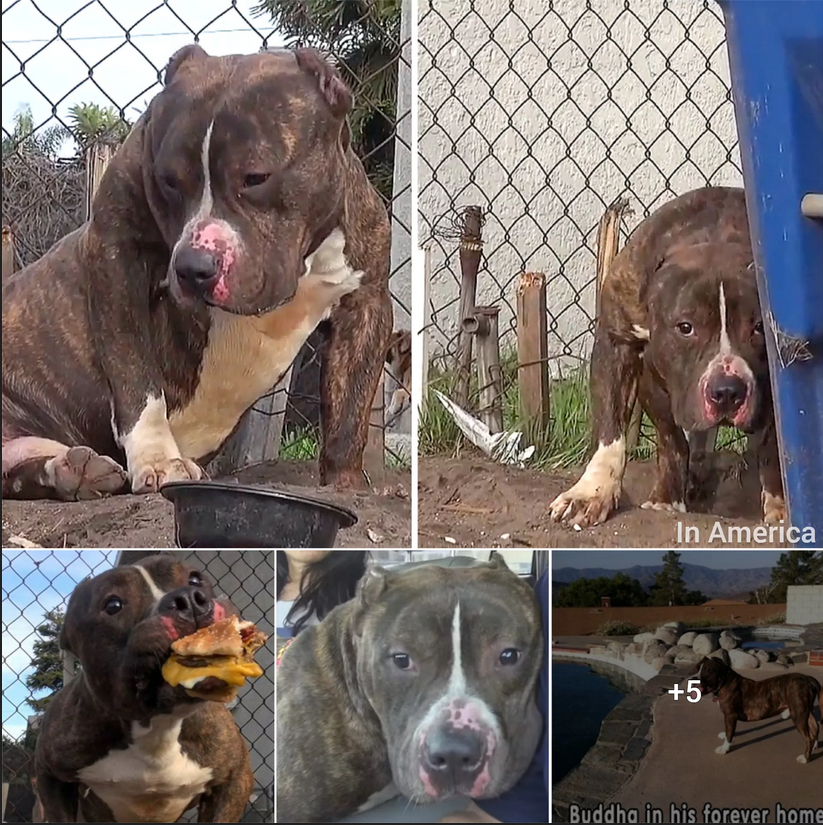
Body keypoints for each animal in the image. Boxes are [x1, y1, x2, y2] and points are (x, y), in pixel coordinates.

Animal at [0, 48, 392, 498]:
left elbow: (349, 412)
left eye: (256, 177)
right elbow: (136, 377)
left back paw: (74, 470)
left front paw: (345, 485)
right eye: (169, 181)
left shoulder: (365, 305)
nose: (193, 267)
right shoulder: (116, 258)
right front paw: (158, 460)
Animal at [552, 187, 784, 524]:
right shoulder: (618, 343)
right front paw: (594, 492)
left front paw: (780, 508)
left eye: (758, 328)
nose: (727, 391)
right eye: (685, 327)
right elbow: (627, 432)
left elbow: (775, 448)